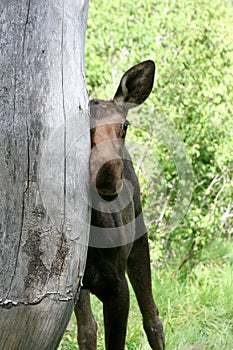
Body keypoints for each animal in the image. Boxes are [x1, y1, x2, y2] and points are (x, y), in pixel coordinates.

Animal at [74, 60, 164, 350]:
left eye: (124, 126)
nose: (108, 177)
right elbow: (88, 331)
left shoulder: (118, 288)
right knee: (88, 330)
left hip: (139, 239)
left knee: (153, 318)